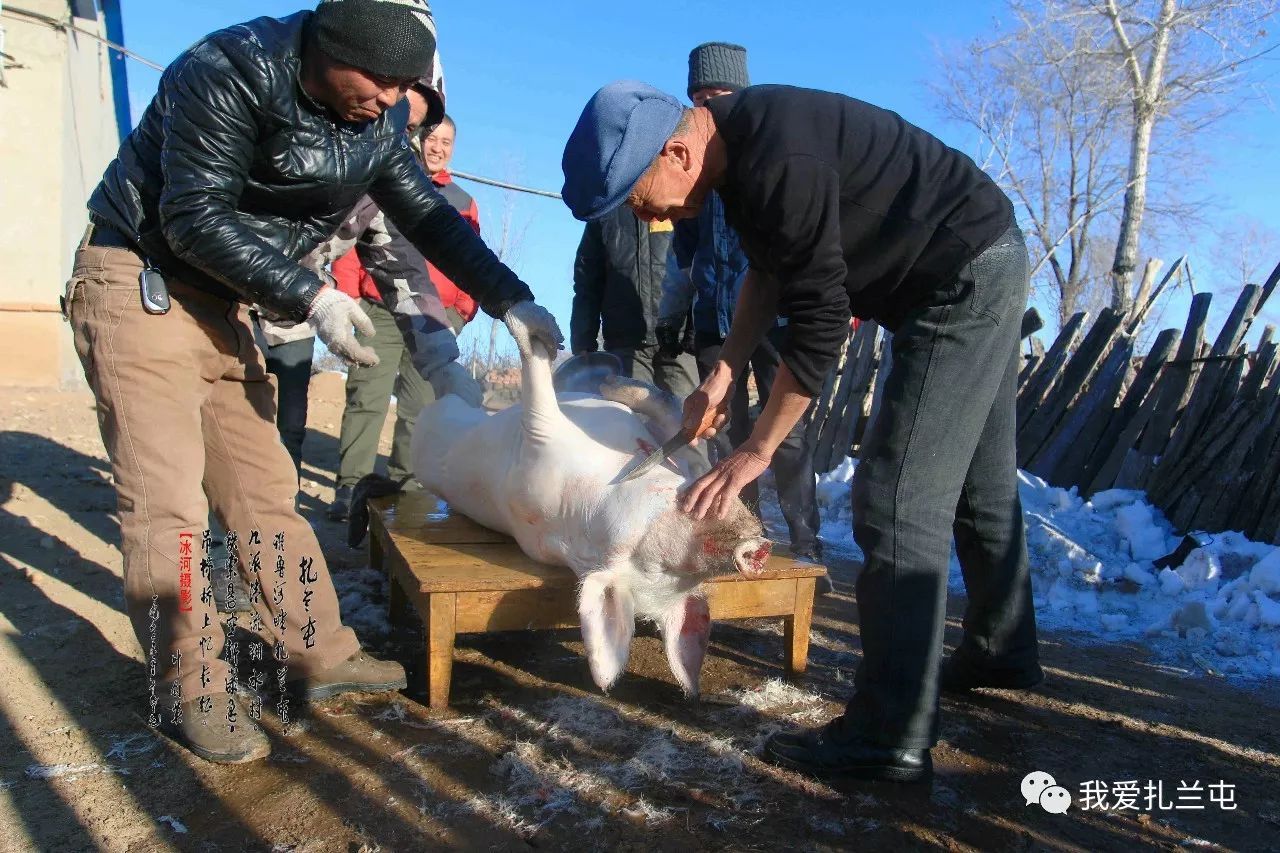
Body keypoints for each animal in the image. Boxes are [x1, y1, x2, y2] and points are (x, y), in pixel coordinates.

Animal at [409, 335, 768, 696]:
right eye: (660, 565)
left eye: (682, 574)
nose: (757, 551)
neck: (614, 473)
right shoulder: (545, 441)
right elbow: (541, 382)